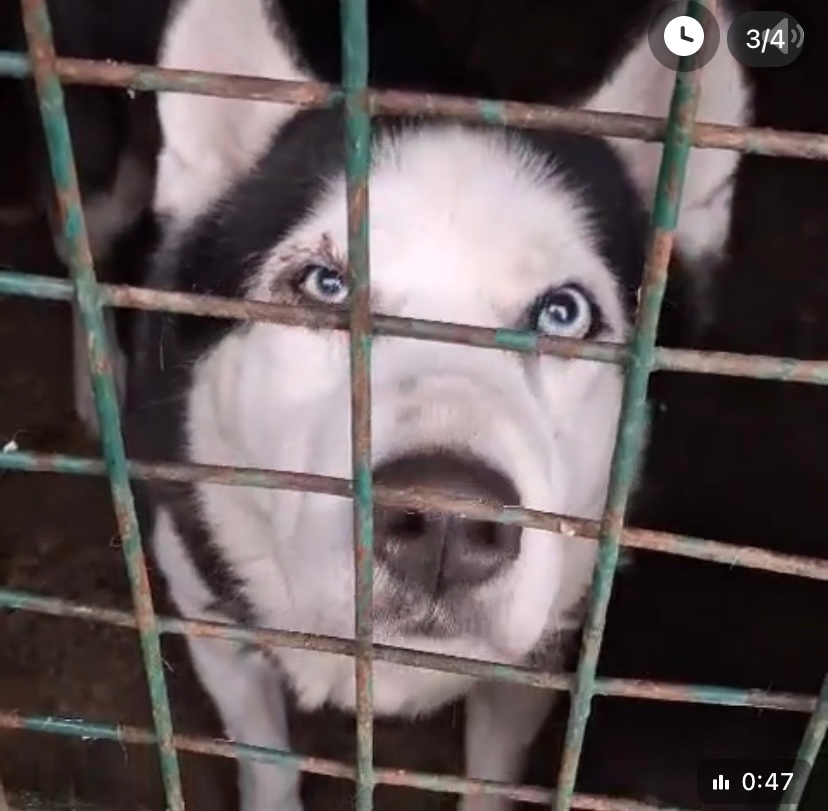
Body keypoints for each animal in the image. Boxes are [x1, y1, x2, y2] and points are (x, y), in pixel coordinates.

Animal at [26, 0, 751, 808]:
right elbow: (268, 757)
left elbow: (493, 772)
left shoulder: (541, 648)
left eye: (565, 314)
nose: (445, 522)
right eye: (323, 285)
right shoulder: (212, 616)